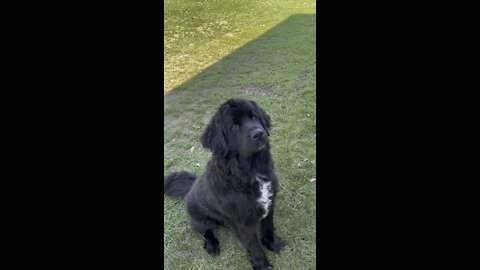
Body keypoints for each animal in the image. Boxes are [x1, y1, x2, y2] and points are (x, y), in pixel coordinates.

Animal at [165, 98, 284, 268]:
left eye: (254, 116)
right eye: (234, 126)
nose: (259, 133)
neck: (250, 171)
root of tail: (190, 188)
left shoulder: (269, 203)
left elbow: (268, 228)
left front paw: (272, 244)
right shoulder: (243, 223)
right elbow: (255, 248)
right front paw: (263, 266)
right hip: (199, 218)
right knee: (205, 231)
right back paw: (212, 245)